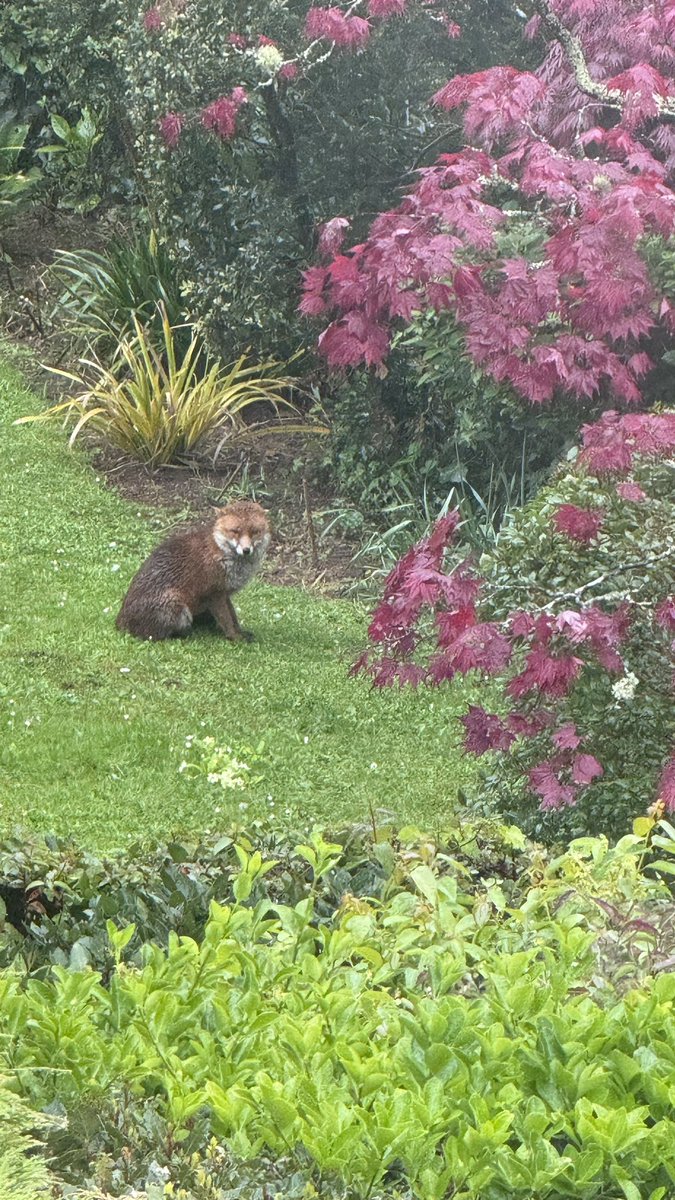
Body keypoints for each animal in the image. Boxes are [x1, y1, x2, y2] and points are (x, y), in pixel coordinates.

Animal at [116, 499, 270, 643]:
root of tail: (119, 624)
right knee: (157, 636)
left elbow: (233, 617)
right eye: (235, 531)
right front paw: (234, 637)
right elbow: (227, 620)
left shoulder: (225, 593)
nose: (246, 550)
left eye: (255, 532)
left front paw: (240, 632)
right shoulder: (214, 594)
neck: (221, 552)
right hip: (178, 608)